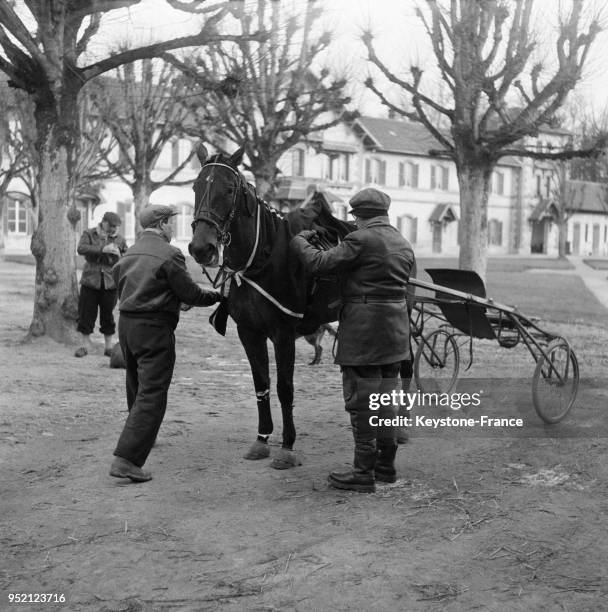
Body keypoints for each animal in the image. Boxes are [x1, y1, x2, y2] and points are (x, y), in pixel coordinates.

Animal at [189, 143, 352, 468]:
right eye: (196, 187)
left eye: (228, 189)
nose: (201, 247)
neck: (260, 262)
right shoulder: (249, 332)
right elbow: (261, 384)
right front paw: (262, 439)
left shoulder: (283, 334)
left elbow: (284, 389)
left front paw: (287, 446)